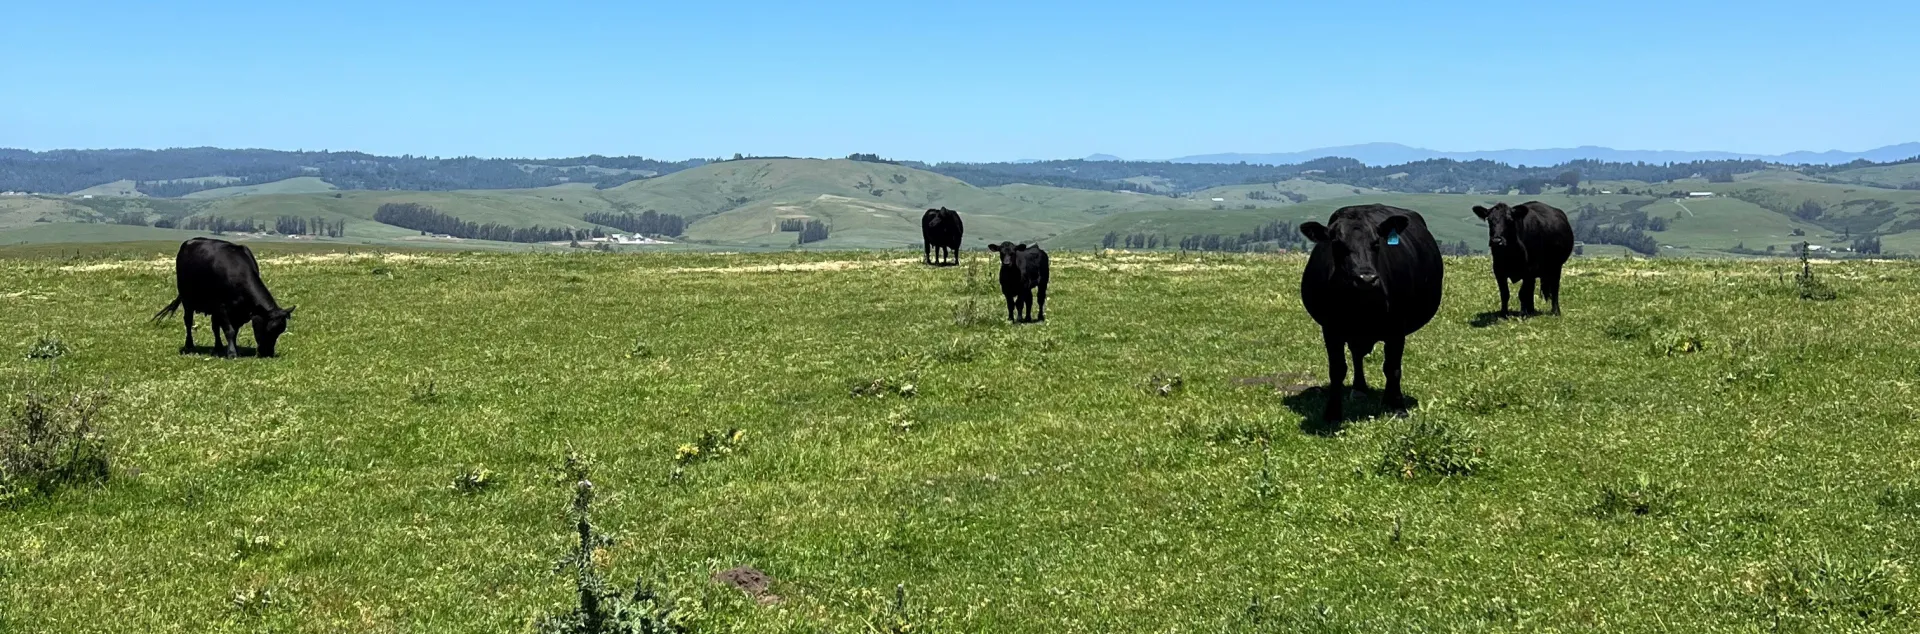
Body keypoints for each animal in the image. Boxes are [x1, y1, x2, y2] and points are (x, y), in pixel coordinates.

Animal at [152, 238, 295, 358]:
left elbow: (233, 330)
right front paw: (232, 353)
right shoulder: (222, 307)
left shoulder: (237, 312)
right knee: (188, 321)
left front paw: (233, 348)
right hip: (187, 300)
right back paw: (189, 345)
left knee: (214, 327)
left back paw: (218, 347)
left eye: (280, 331)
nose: (268, 353)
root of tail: (189, 242)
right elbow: (229, 330)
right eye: (268, 329)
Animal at [1299, 204, 1443, 423]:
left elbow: (1392, 368)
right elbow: (1337, 369)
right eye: (1337, 244)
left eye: (1376, 243)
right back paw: (1359, 389)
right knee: (1357, 355)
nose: (1365, 278)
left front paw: (1398, 407)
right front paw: (1332, 413)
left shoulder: (1397, 328)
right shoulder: (1330, 329)